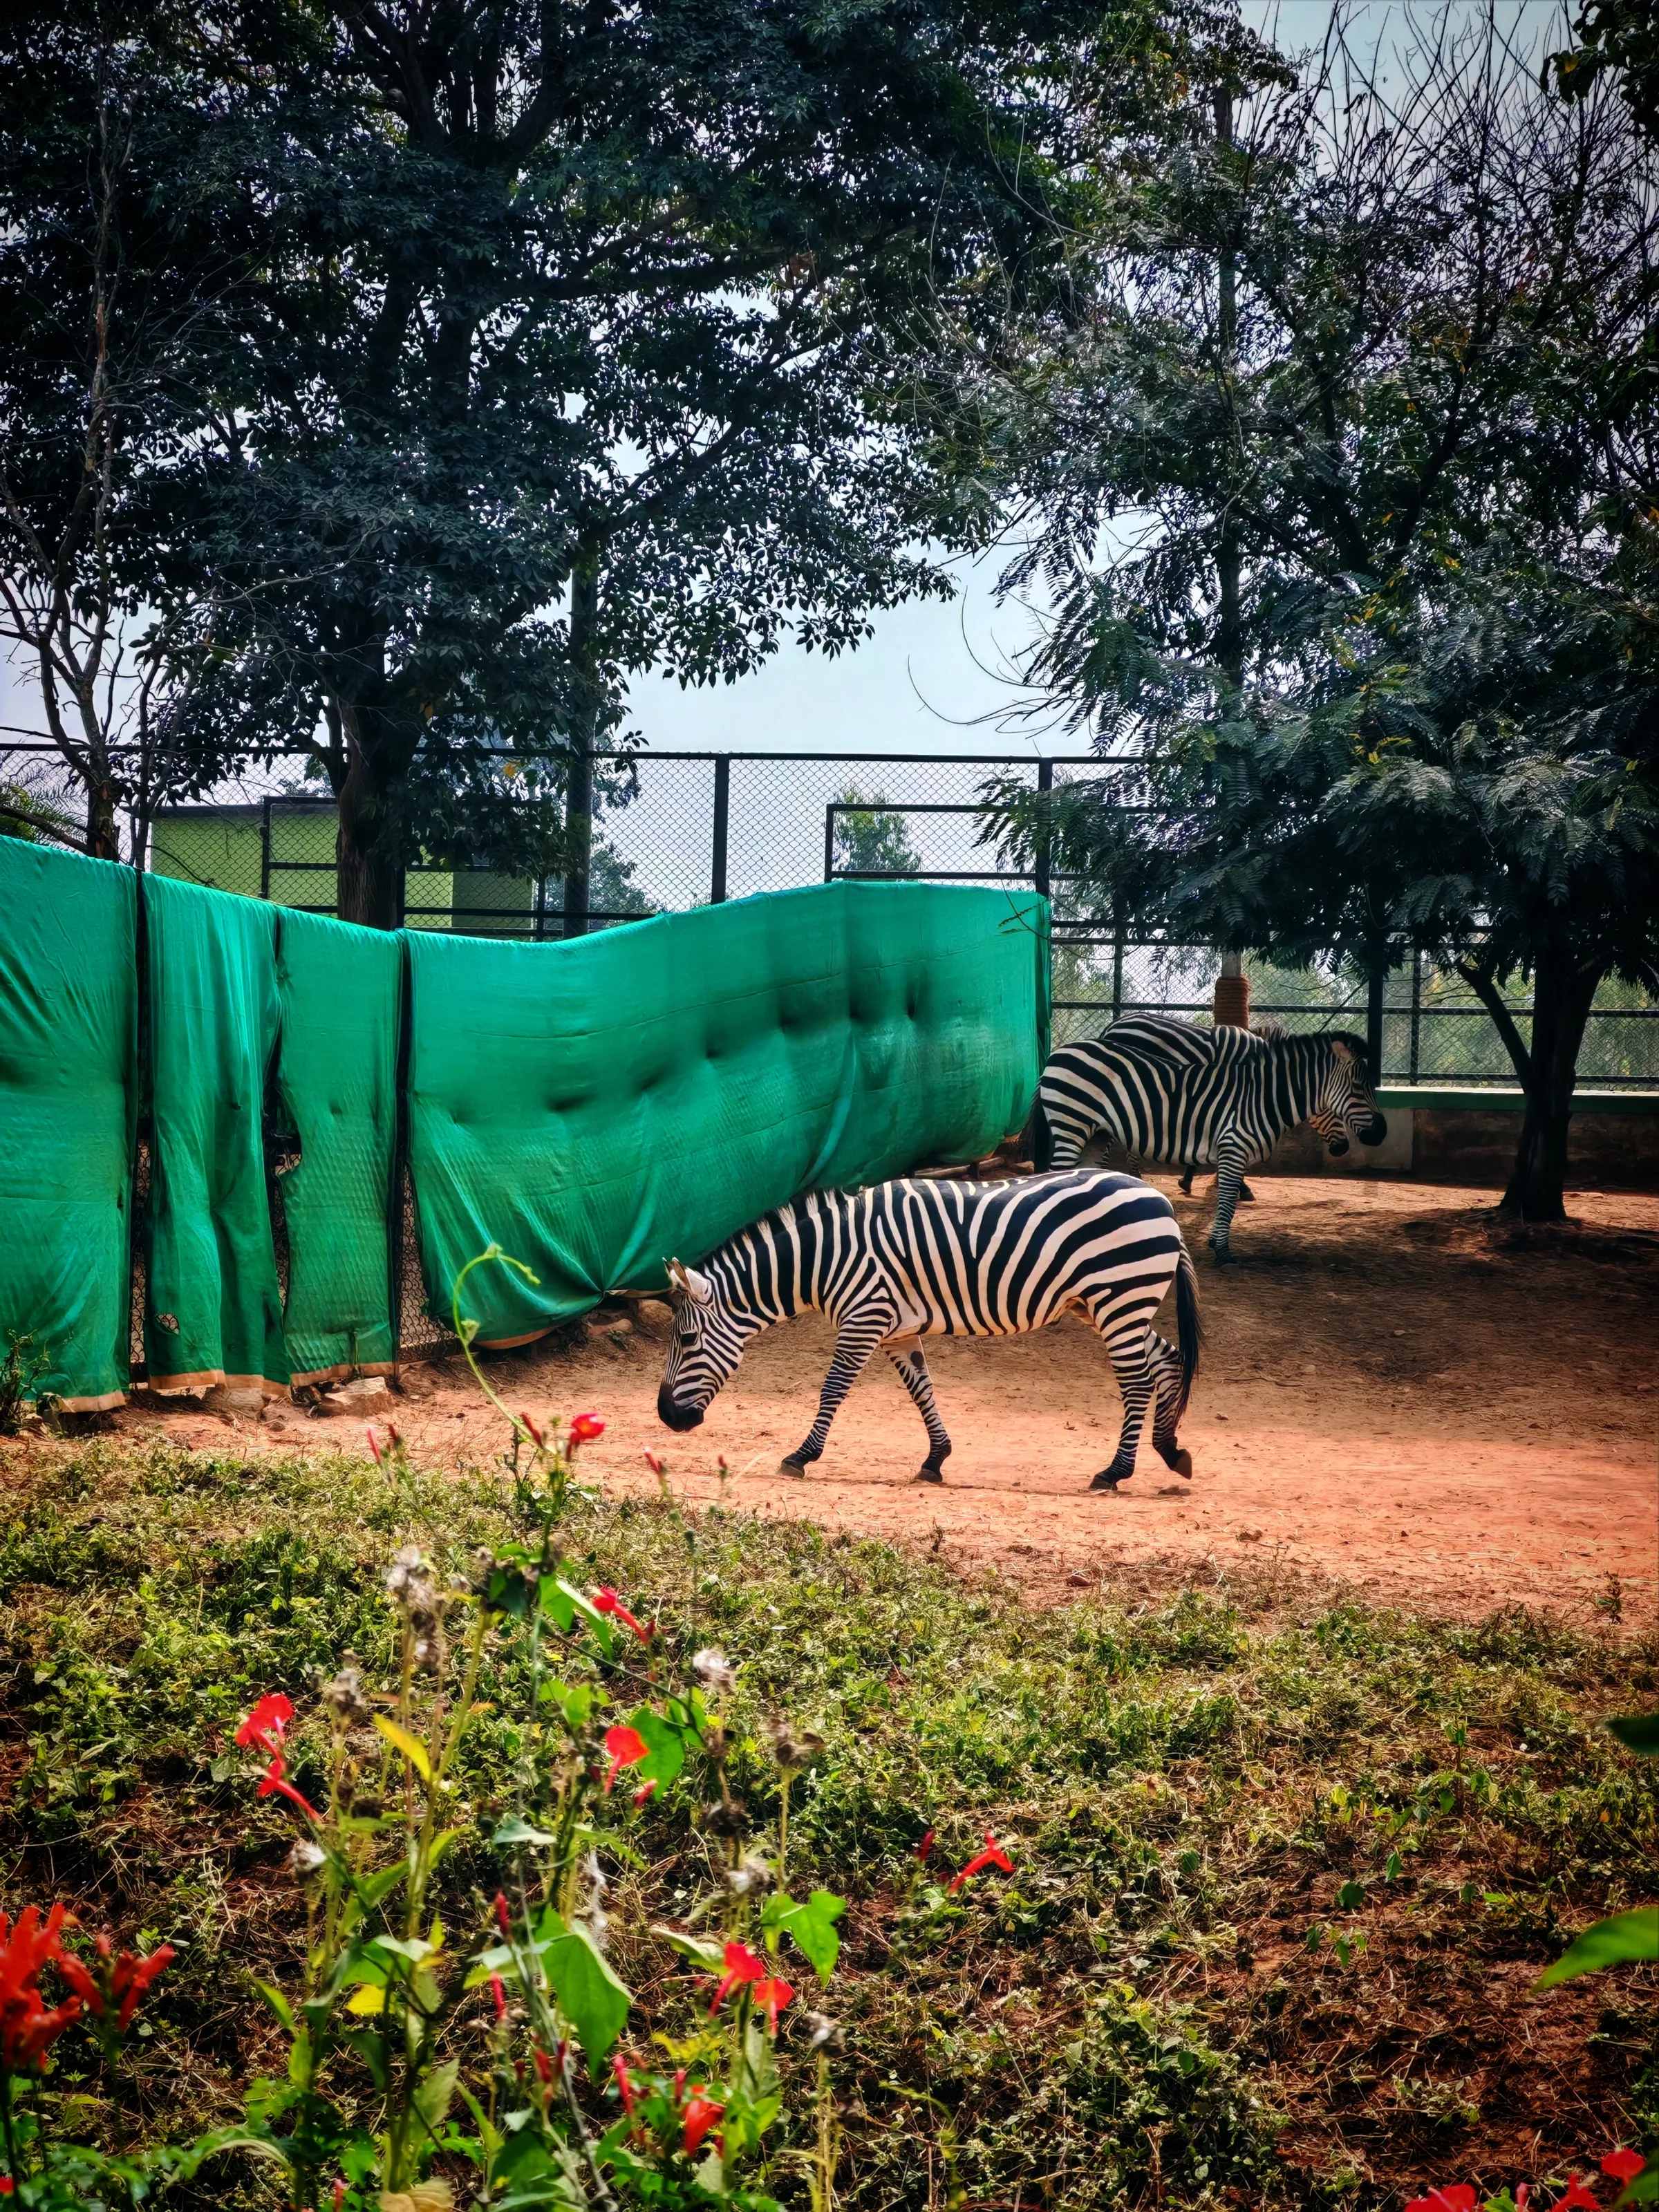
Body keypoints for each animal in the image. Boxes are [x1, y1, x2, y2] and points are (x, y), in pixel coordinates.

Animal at [655, 1170, 1201, 1493]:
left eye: (687, 1341)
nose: (666, 1418)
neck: (826, 1258)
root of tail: (1160, 1200)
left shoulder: (864, 1316)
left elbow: (832, 1389)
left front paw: (801, 1456)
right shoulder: (896, 1329)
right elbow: (922, 1390)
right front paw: (936, 1459)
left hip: (1119, 1297)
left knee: (1136, 1382)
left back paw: (1115, 1471)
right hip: (1110, 1305)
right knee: (1167, 1358)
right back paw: (1171, 1450)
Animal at [1032, 1015, 1388, 1263]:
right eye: (1359, 1087)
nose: (1381, 1134)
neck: (1262, 1097)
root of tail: (1063, 1049)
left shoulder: (1233, 1151)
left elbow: (1225, 1199)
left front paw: (1215, 1239)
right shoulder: (1233, 1146)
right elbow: (1228, 1202)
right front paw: (1223, 1252)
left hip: (1096, 1132)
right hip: (1071, 1122)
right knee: (1058, 1176)